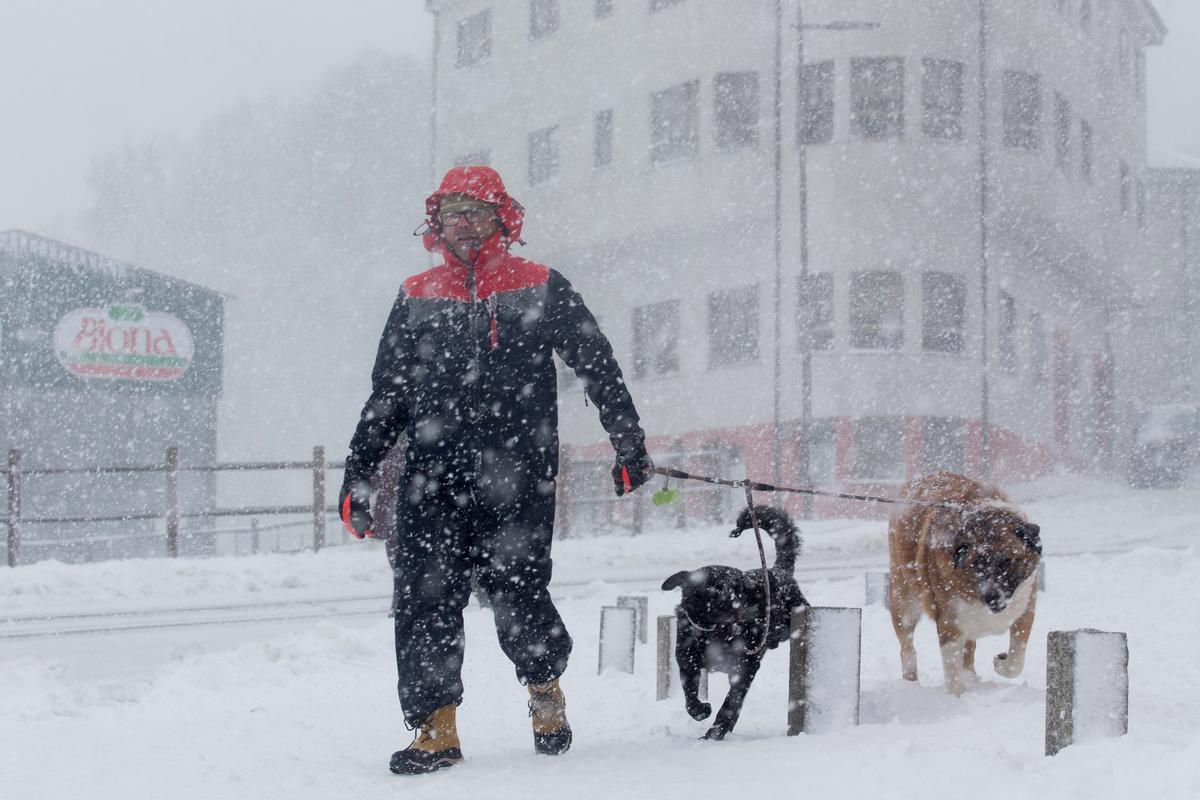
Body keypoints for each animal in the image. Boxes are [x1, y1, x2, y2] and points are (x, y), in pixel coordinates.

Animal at [662, 506, 811, 738]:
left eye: (738, 587)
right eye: (712, 587)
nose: (736, 605)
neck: (716, 633)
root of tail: (779, 570)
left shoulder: (746, 667)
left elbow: (730, 703)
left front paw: (714, 734)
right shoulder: (687, 662)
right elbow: (690, 697)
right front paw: (702, 710)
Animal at [888, 474, 1046, 695]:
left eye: (1007, 561)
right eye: (977, 563)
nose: (991, 597)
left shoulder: (1025, 610)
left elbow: (1015, 661)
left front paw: (1000, 662)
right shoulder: (949, 625)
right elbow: (953, 671)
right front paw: (958, 697)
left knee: (969, 650)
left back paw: (972, 677)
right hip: (903, 604)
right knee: (908, 649)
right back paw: (911, 684)